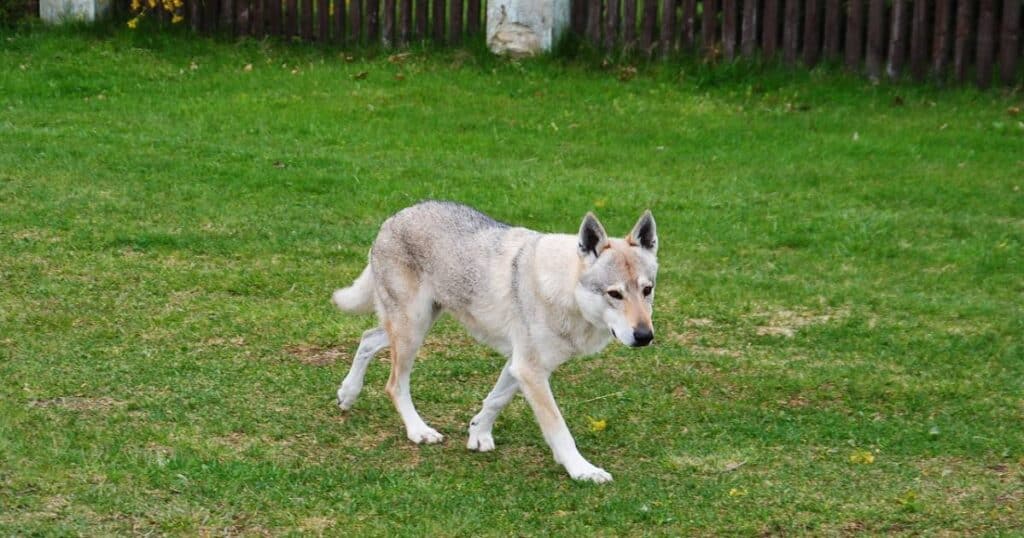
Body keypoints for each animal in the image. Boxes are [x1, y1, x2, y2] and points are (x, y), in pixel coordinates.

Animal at [331, 200, 659, 481]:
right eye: (614, 293)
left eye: (647, 290)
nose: (645, 336)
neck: (564, 290)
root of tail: (394, 217)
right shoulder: (530, 370)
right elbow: (558, 428)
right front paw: (582, 470)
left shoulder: (520, 365)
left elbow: (495, 400)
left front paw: (478, 435)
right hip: (412, 329)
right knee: (394, 384)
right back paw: (418, 430)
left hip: (415, 326)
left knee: (367, 338)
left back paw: (348, 393)